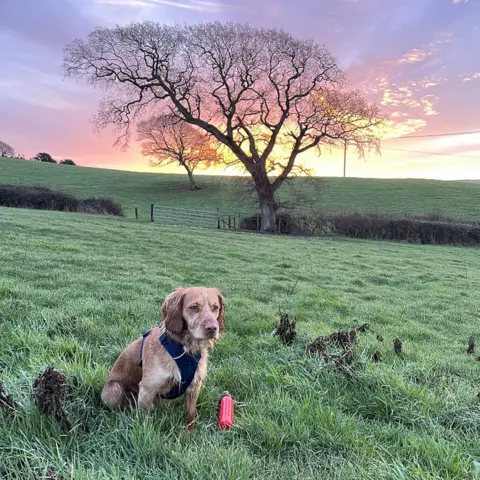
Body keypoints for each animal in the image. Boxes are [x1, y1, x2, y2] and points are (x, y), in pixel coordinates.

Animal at [101, 286, 225, 430]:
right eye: (194, 307)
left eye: (215, 307)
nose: (212, 328)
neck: (185, 348)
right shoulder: (147, 390)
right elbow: (145, 420)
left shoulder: (194, 387)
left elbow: (190, 416)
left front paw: (189, 434)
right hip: (113, 388)